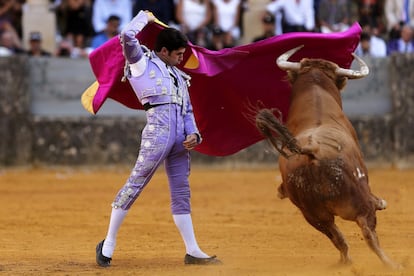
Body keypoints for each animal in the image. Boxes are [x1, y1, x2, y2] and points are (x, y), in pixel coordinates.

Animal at [256, 45, 398, 268]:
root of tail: (312, 151)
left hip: (312, 215)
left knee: (337, 238)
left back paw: (345, 262)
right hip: (358, 204)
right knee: (368, 232)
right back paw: (390, 263)